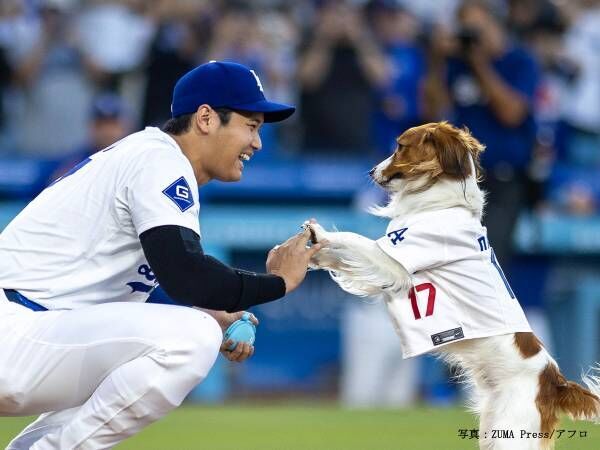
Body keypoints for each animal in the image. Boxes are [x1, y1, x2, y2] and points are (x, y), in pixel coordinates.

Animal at [308, 122, 600, 450]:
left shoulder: (394, 259)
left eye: (400, 146)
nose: (371, 171)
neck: (444, 202)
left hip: (511, 434)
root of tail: (555, 381)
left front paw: (319, 236)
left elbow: (353, 240)